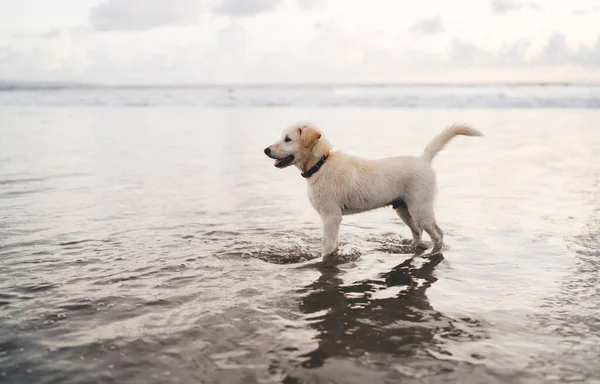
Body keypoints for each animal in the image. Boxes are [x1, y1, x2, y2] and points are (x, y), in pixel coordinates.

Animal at [264, 124, 482, 260]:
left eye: (288, 139)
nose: (266, 150)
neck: (321, 164)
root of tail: (424, 160)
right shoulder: (333, 219)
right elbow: (334, 244)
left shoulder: (330, 217)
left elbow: (326, 247)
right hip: (403, 208)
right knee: (417, 233)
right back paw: (410, 248)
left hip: (421, 208)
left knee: (437, 234)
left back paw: (434, 252)